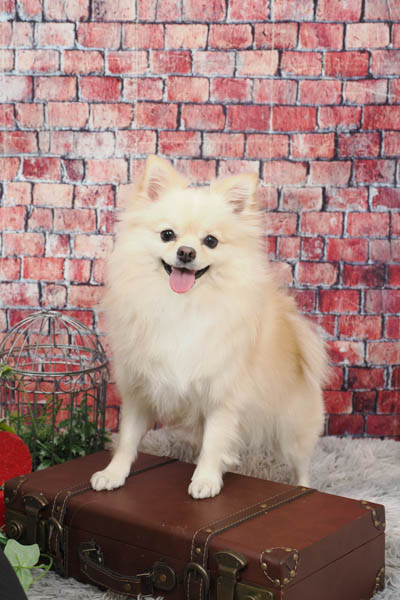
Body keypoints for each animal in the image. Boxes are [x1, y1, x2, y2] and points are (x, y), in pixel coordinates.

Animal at [90, 155, 328, 499]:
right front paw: (113, 474)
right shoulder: (139, 389)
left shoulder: (223, 396)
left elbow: (215, 443)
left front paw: (204, 480)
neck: (182, 305)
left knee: (302, 466)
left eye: (211, 241)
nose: (186, 252)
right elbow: (127, 439)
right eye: (167, 235)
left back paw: (303, 489)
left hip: (293, 429)